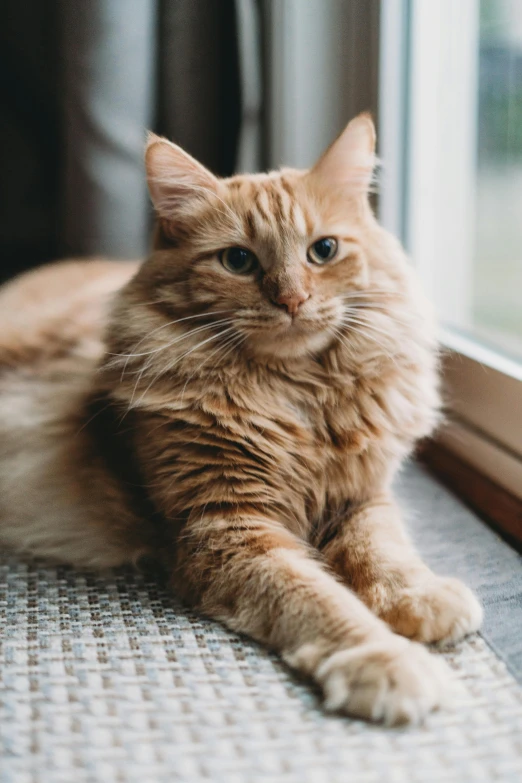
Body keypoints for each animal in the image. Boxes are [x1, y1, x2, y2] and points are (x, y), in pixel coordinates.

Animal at [0, 115, 480, 724]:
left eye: (323, 250)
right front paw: (384, 660)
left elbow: (385, 551)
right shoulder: (228, 528)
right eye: (238, 261)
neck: (298, 397)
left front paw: (419, 596)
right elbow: (320, 601)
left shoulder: (361, 496)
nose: (291, 300)